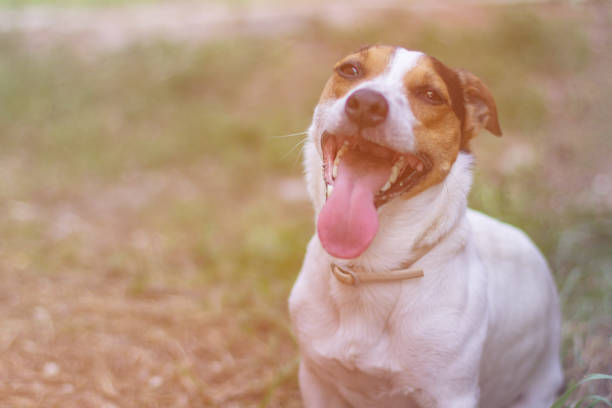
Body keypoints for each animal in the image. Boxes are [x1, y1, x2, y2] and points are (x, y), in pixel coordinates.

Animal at [290, 46, 560, 406]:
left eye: (431, 95)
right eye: (350, 70)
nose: (367, 104)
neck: (371, 269)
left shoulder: (452, 394)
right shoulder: (316, 378)